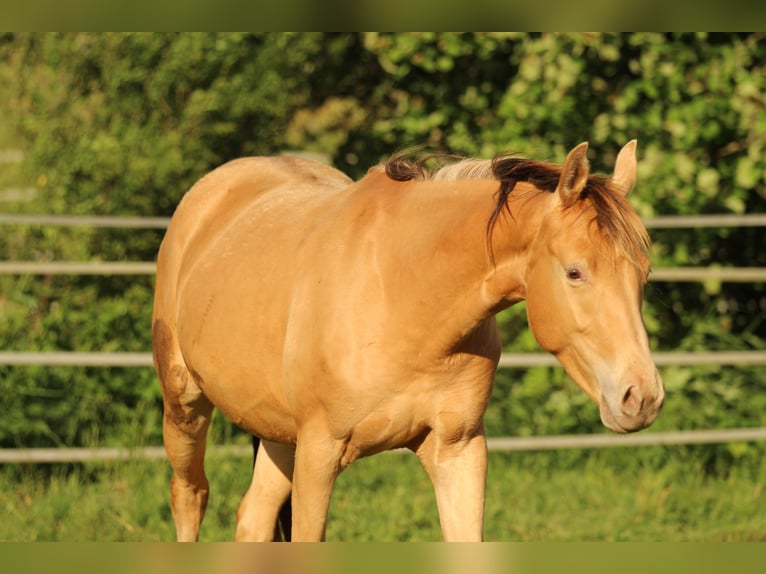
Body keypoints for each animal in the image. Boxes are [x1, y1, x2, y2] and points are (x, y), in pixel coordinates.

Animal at [152, 140, 665, 542]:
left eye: (644, 273)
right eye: (575, 272)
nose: (642, 398)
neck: (407, 295)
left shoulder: (458, 451)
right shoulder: (319, 455)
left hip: (278, 434)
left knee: (253, 518)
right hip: (186, 406)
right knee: (190, 496)